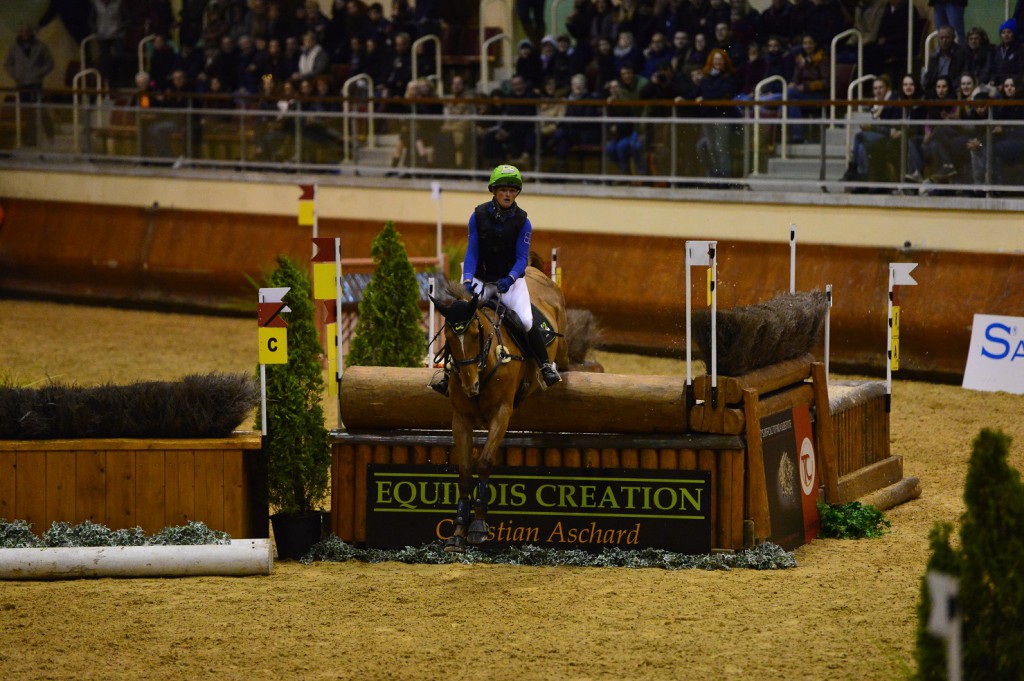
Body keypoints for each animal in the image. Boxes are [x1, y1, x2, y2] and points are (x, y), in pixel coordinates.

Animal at [425, 262, 569, 548]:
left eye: (474, 334)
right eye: (448, 337)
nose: (470, 387)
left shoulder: (502, 413)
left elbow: (485, 462)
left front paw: (478, 525)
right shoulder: (460, 419)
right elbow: (465, 470)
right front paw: (458, 528)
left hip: (563, 346)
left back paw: (552, 372)